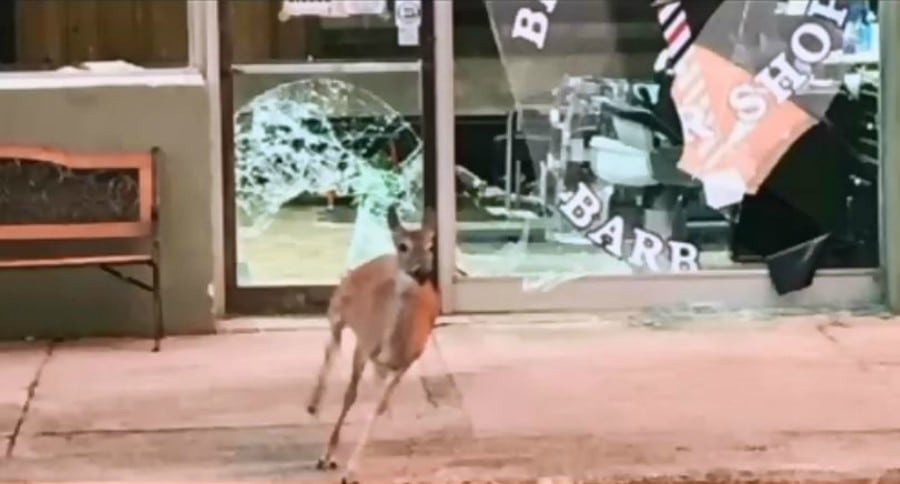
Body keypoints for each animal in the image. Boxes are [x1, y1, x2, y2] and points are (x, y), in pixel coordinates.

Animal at [306, 205, 440, 484]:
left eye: (431, 245)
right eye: (403, 245)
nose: (422, 272)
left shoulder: (406, 362)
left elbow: (377, 406)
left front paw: (351, 470)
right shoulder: (364, 344)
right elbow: (350, 395)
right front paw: (327, 456)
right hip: (337, 305)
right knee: (332, 343)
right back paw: (314, 404)